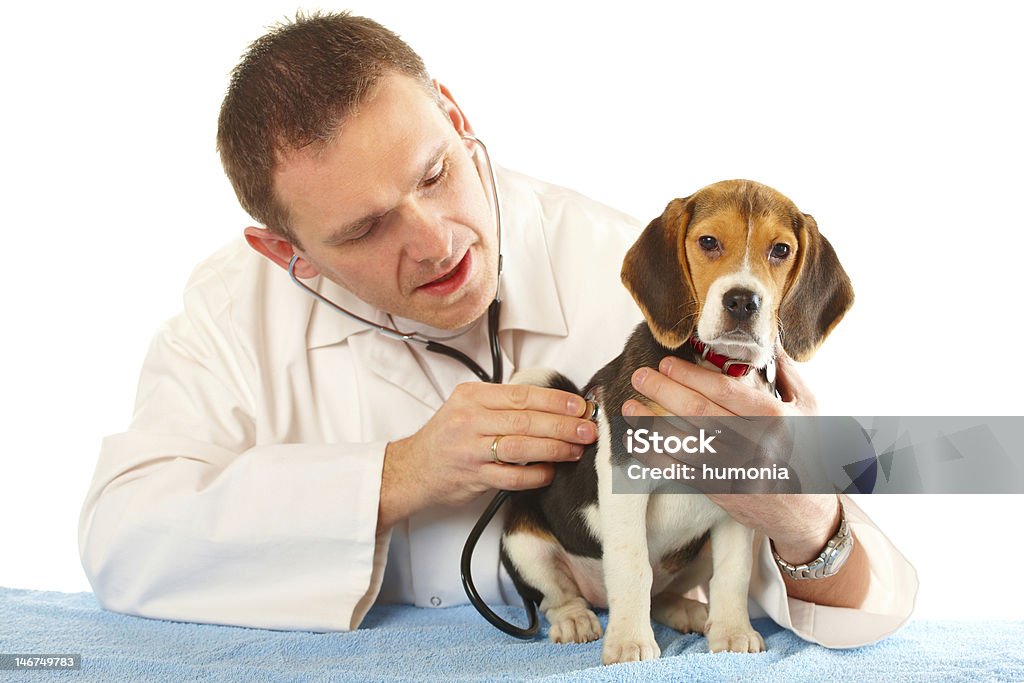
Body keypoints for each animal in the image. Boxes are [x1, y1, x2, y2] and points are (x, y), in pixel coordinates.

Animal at [499, 179, 851, 663]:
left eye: (780, 250)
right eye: (708, 242)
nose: (743, 300)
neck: (717, 366)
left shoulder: (740, 499)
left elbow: (734, 572)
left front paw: (732, 632)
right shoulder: (626, 474)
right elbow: (631, 565)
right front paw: (629, 642)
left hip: (695, 550)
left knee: (663, 591)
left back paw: (687, 611)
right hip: (522, 541)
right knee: (557, 595)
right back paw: (575, 619)